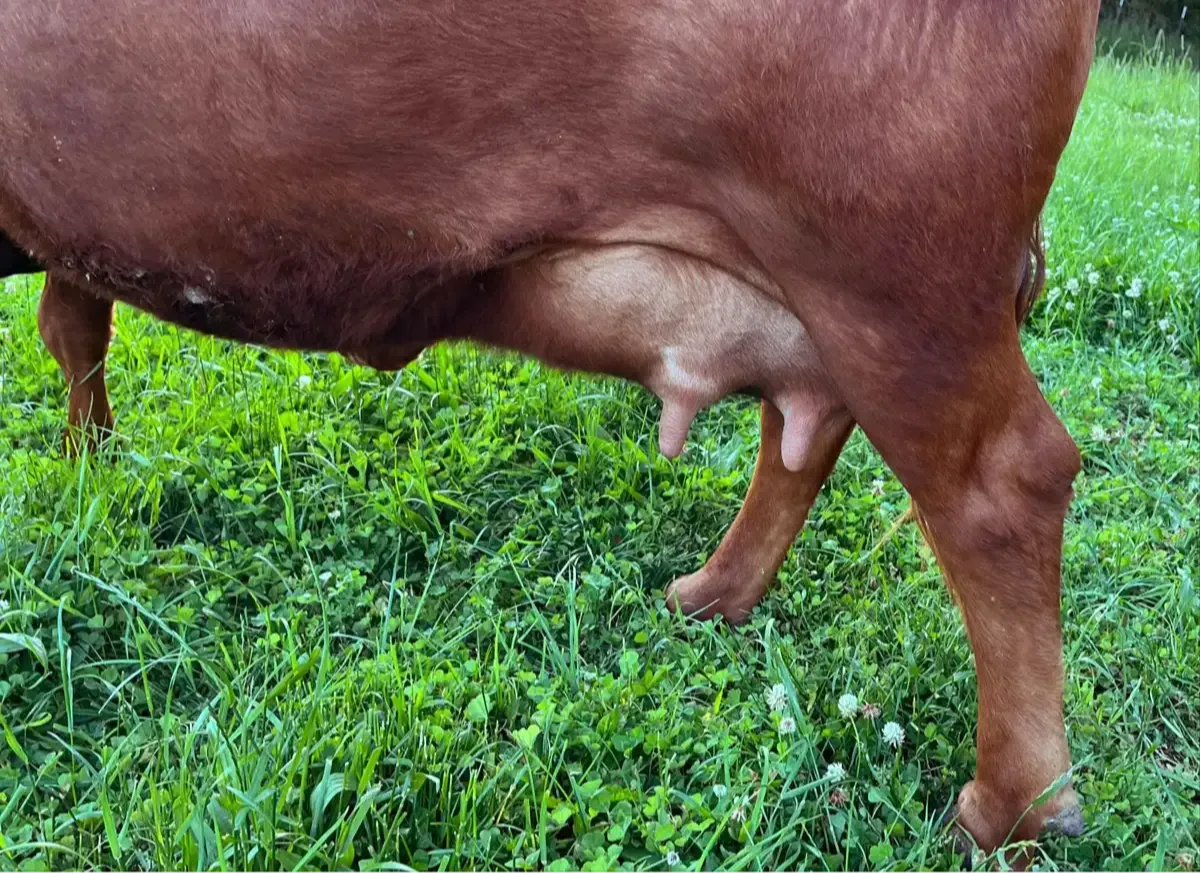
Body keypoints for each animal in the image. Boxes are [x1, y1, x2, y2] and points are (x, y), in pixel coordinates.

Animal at [0, 0, 1100, 861]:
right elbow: (75, 321)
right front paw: (91, 462)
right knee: (808, 423)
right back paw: (707, 596)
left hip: (891, 272)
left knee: (1005, 478)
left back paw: (1012, 812)